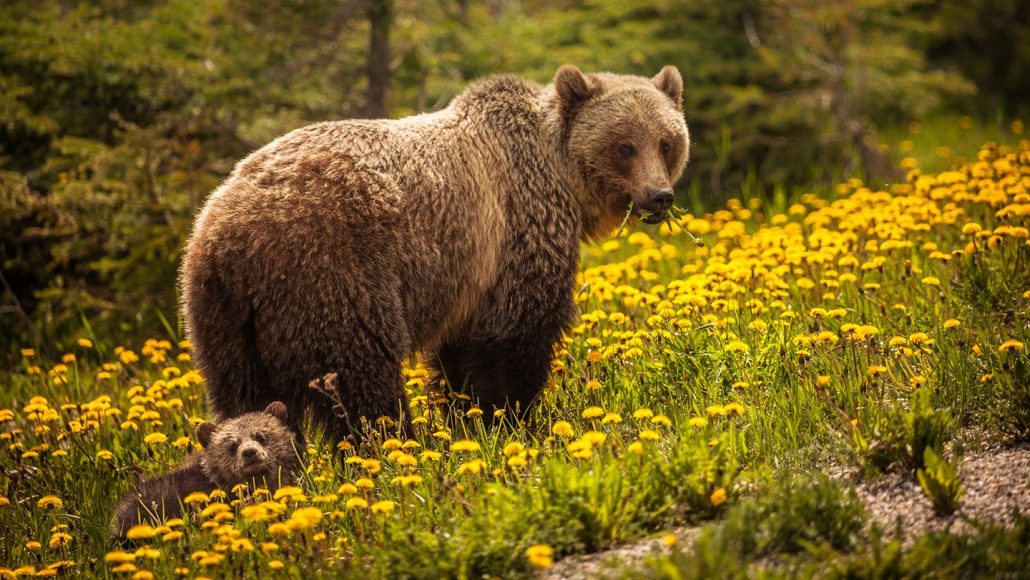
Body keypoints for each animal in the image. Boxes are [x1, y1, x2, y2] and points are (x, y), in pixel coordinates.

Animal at [181, 65, 688, 442]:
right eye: (625, 146)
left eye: (667, 142)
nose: (659, 196)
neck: (560, 176)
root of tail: (227, 234)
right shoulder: (515, 231)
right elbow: (515, 338)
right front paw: (511, 420)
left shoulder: (471, 277)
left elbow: (461, 356)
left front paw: (468, 419)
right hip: (329, 273)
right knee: (360, 375)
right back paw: (393, 445)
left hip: (224, 319)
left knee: (243, 396)